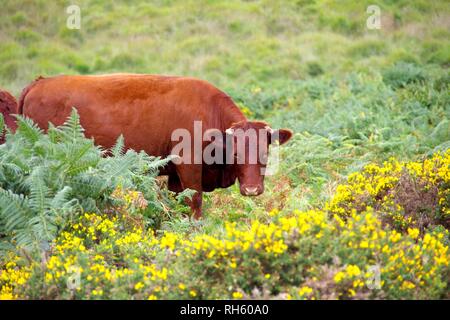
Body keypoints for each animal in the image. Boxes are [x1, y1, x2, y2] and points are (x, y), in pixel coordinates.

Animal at [19, 75, 292, 218]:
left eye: (265, 152)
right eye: (235, 153)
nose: (252, 190)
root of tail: (40, 82)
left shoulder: (174, 177)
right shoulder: (188, 165)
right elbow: (195, 203)